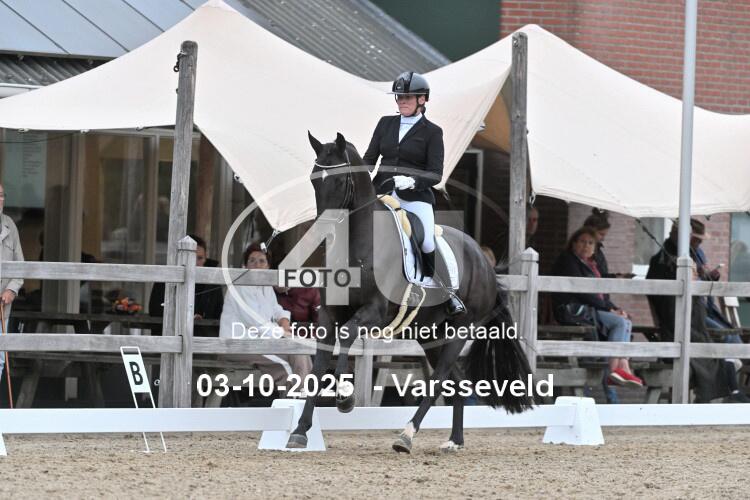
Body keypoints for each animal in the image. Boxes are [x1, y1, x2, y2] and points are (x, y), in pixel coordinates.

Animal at [286, 132, 532, 453]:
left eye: (340, 181)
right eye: (314, 180)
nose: (322, 232)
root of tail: (484, 263)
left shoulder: (375, 312)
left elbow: (348, 335)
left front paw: (345, 396)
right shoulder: (329, 315)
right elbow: (317, 371)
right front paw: (300, 431)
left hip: (461, 330)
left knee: (439, 379)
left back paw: (406, 435)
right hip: (432, 335)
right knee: (457, 382)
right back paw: (454, 440)